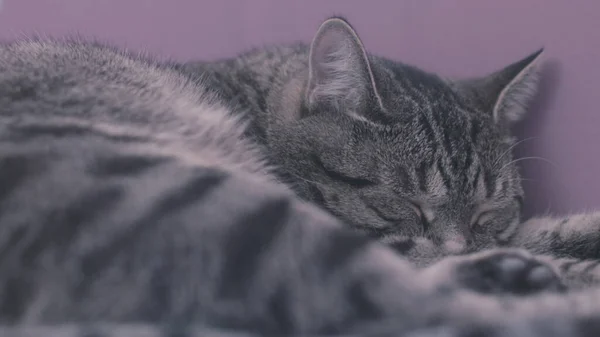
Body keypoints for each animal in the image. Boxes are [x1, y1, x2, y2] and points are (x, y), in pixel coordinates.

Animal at [2, 13, 600, 336]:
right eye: (402, 205)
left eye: (487, 212)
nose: (464, 242)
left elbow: (541, 230)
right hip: (214, 211)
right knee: (409, 310)